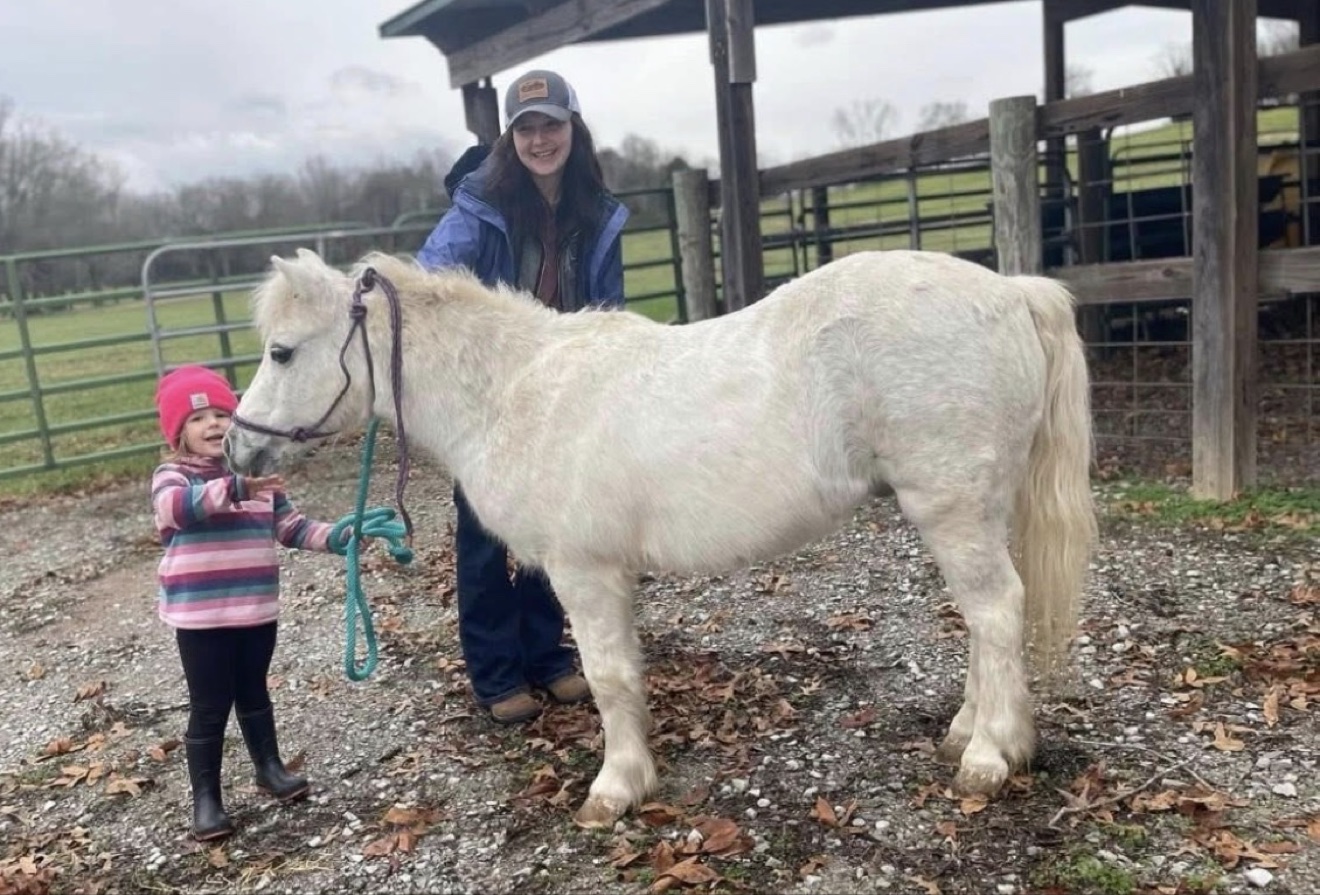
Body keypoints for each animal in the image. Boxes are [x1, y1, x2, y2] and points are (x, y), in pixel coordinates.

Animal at [224, 247, 1098, 829]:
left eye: (281, 351)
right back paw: (971, 731)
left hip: (950, 508)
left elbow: (610, 678)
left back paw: (990, 756)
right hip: (974, 511)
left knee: (996, 611)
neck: (517, 392)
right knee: (990, 619)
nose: (236, 450)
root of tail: (1010, 291)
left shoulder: (586, 572)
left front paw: (617, 786)